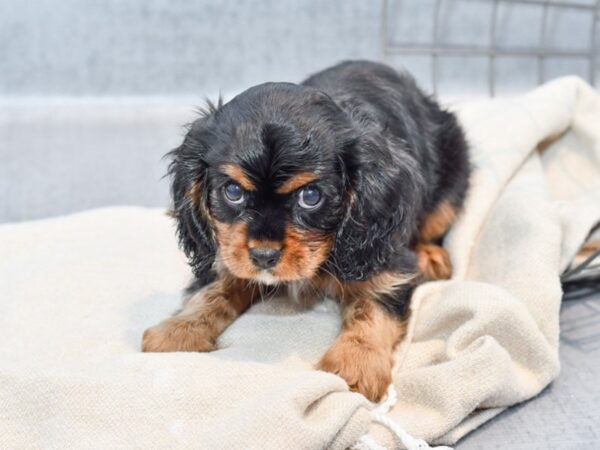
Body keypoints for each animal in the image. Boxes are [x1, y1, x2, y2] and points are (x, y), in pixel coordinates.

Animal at [143, 59, 472, 400]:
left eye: (310, 197)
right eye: (232, 191)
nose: (263, 256)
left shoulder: (387, 258)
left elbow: (373, 305)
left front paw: (356, 362)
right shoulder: (225, 248)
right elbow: (215, 287)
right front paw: (180, 329)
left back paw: (431, 255)